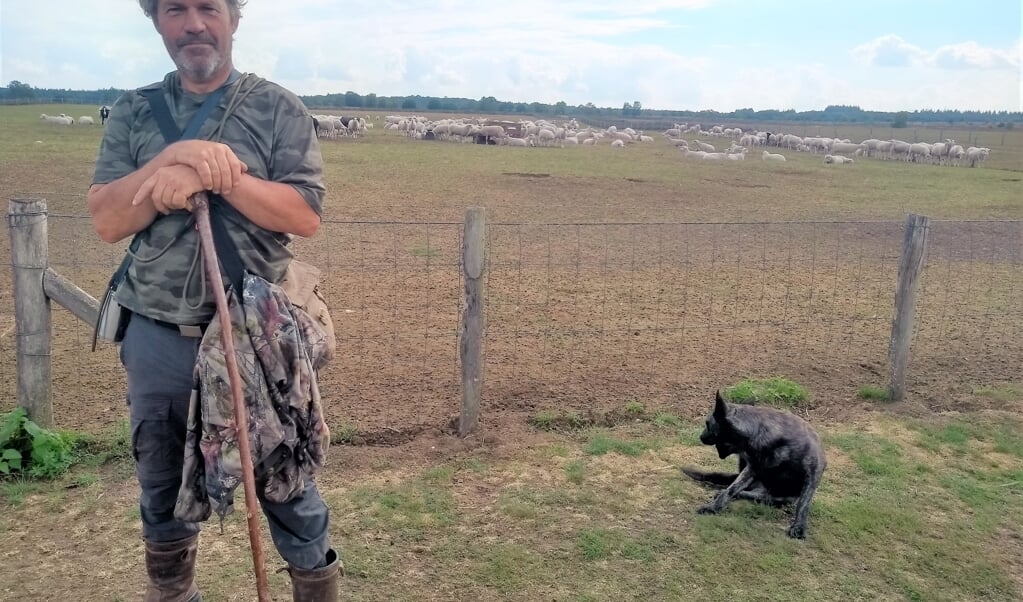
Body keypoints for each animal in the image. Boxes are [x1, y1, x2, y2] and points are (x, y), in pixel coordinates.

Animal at [683, 393, 826, 536]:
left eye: (707, 424)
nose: (700, 437)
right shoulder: (752, 469)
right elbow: (731, 489)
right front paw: (713, 507)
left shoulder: (813, 472)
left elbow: (804, 503)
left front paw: (799, 526)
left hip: (784, 496)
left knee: (764, 497)